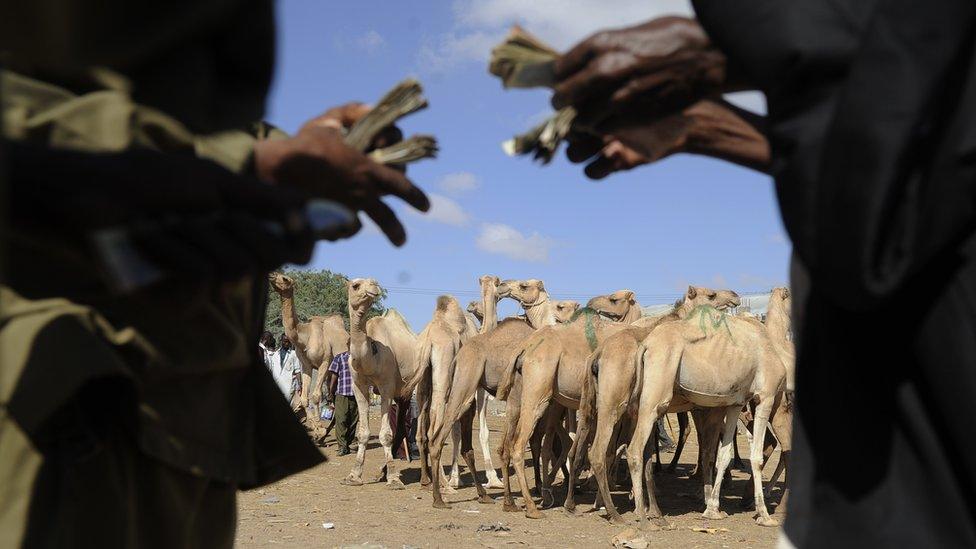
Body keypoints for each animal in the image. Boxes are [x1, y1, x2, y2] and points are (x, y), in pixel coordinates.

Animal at [268, 272, 348, 408]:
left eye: (285, 278)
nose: (272, 275)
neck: (304, 337)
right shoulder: (306, 365)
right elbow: (304, 399)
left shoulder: (325, 362)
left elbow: (316, 397)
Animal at [344, 278, 420, 488]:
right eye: (355, 285)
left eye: (372, 281)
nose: (374, 285)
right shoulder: (359, 386)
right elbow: (363, 433)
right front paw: (353, 476)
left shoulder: (386, 387)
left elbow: (385, 434)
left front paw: (393, 479)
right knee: (401, 427)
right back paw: (382, 472)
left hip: (407, 389)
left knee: (401, 428)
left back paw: (387, 472)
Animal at [572, 286, 740, 524]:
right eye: (711, 295)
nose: (734, 295)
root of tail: (598, 354)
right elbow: (706, 447)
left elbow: (648, 457)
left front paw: (648, 507)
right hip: (614, 404)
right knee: (598, 451)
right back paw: (614, 512)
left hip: (592, 403)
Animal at [624, 300, 792, 528]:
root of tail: (646, 345)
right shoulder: (766, 395)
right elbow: (756, 457)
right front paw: (764, 515)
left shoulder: (736, 403)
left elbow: (724, 455)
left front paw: (712, 510)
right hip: (657, 390)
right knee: (634, 449)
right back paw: (642, 515)